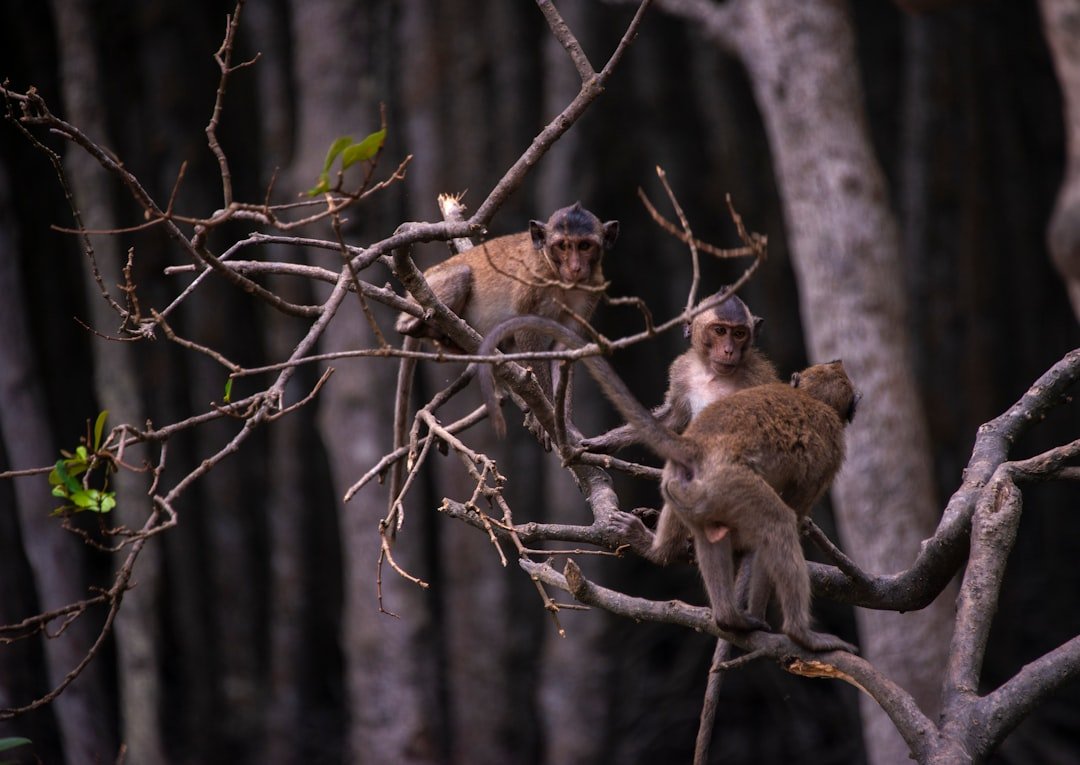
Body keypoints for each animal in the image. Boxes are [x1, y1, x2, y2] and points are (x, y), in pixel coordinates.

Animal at [387, 203, 619, 533]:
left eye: (585, 245)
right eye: (563, 246)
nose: (575, 268)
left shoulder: (591, 290)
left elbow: (564, 349)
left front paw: (564, 423)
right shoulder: (533, 282)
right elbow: (527, 333)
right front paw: (544, 418)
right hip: (431, 285)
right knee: (457, 278)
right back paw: (422, 325)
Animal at [476, 315, 859, 653]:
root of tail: (697, 448)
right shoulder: (831, 454)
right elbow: (790, 515)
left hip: (693, 485)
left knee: (715, 526)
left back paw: (693, 583)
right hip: (731, 483)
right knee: (778, 523)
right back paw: (796, 633)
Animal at [581, 290, 778, 454]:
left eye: (739, 334)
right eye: (720, 331)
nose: (729, 351)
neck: (712, 374)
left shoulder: (757, 376)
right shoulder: (682, 372)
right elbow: (673, 417)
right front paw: (606, 441)